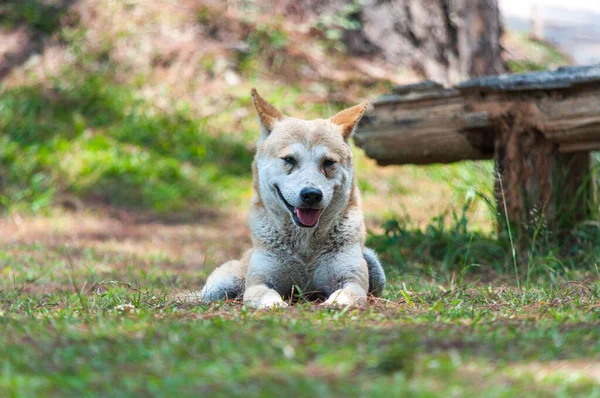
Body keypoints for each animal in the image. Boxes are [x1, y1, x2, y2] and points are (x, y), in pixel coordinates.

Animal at [197, 90, 384, 308]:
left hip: (375, 267)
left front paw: (333, 304)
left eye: (328, 162)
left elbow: (346, 294)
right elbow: (266, 295)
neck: (305, 248)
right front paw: (275, 305)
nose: (311, 194)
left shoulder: (351, 279)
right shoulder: (259, 281)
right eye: (289, 160)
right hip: (217, 288)